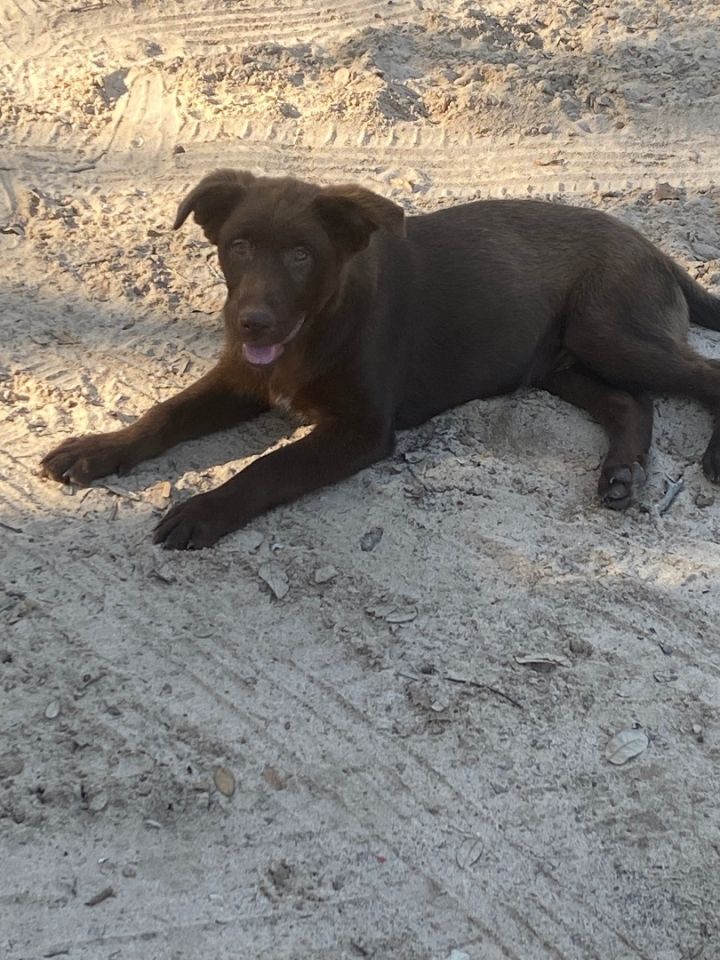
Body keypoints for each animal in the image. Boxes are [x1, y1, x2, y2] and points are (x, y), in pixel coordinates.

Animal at [40, 171, 720, 548]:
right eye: (238, 246)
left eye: (301, 255)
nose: (249, 322)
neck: (318, 328)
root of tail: (653, 247)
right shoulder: (241, 378)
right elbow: (165, 414)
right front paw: (96, 449)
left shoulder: (363, 429)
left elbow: (269, 466)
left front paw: (204, 510)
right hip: (561, 363)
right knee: (630, 405)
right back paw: (622, 473)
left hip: (607, 331)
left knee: (701, 377)